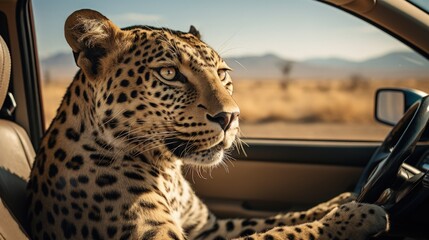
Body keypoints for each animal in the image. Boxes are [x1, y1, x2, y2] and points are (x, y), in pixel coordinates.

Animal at [26, 9, 388, 240]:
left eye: (223, 73)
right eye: (169, 73)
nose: (231, 117)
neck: (166, 170)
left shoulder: (205, 228)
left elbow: (276, 220)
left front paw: (338, 202)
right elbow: (280, 234)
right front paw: (352, 217)